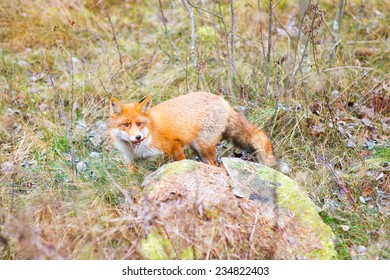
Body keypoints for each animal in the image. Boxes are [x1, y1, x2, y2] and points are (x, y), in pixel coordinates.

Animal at [109, 91, 290, 173]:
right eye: (126, 125)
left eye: (139, 123)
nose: (137, 136)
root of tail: (223, 101)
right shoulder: (133, 161)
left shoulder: (174, 146)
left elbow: (180, 163)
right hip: (198, 149)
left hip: (203, 146)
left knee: (215, 165)